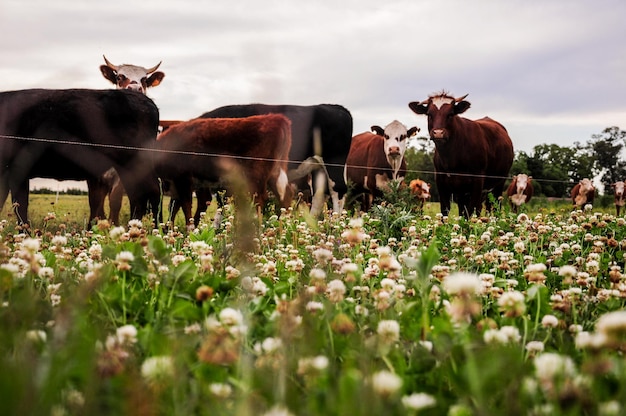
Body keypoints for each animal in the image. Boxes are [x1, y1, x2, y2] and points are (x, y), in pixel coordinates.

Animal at [0, 88, 161, 224]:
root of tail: (146, 100)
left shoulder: (17, 168)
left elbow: (20, 206)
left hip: (133, 160)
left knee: (151, 191)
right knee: (138, 195)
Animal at [155, 114, 294, 224]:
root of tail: (277, 118)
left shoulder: (182, 178)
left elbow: (186, 205)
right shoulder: (195, 183)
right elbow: (177, 207)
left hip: (255, 175)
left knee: (259, 199)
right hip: (275, 173)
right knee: (285, 196)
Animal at [199, 104, 352, 216]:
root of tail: (335, 107)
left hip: (334, 162)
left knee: (337, 190)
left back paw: (336, 222)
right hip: (317, 166)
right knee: (319, 195)